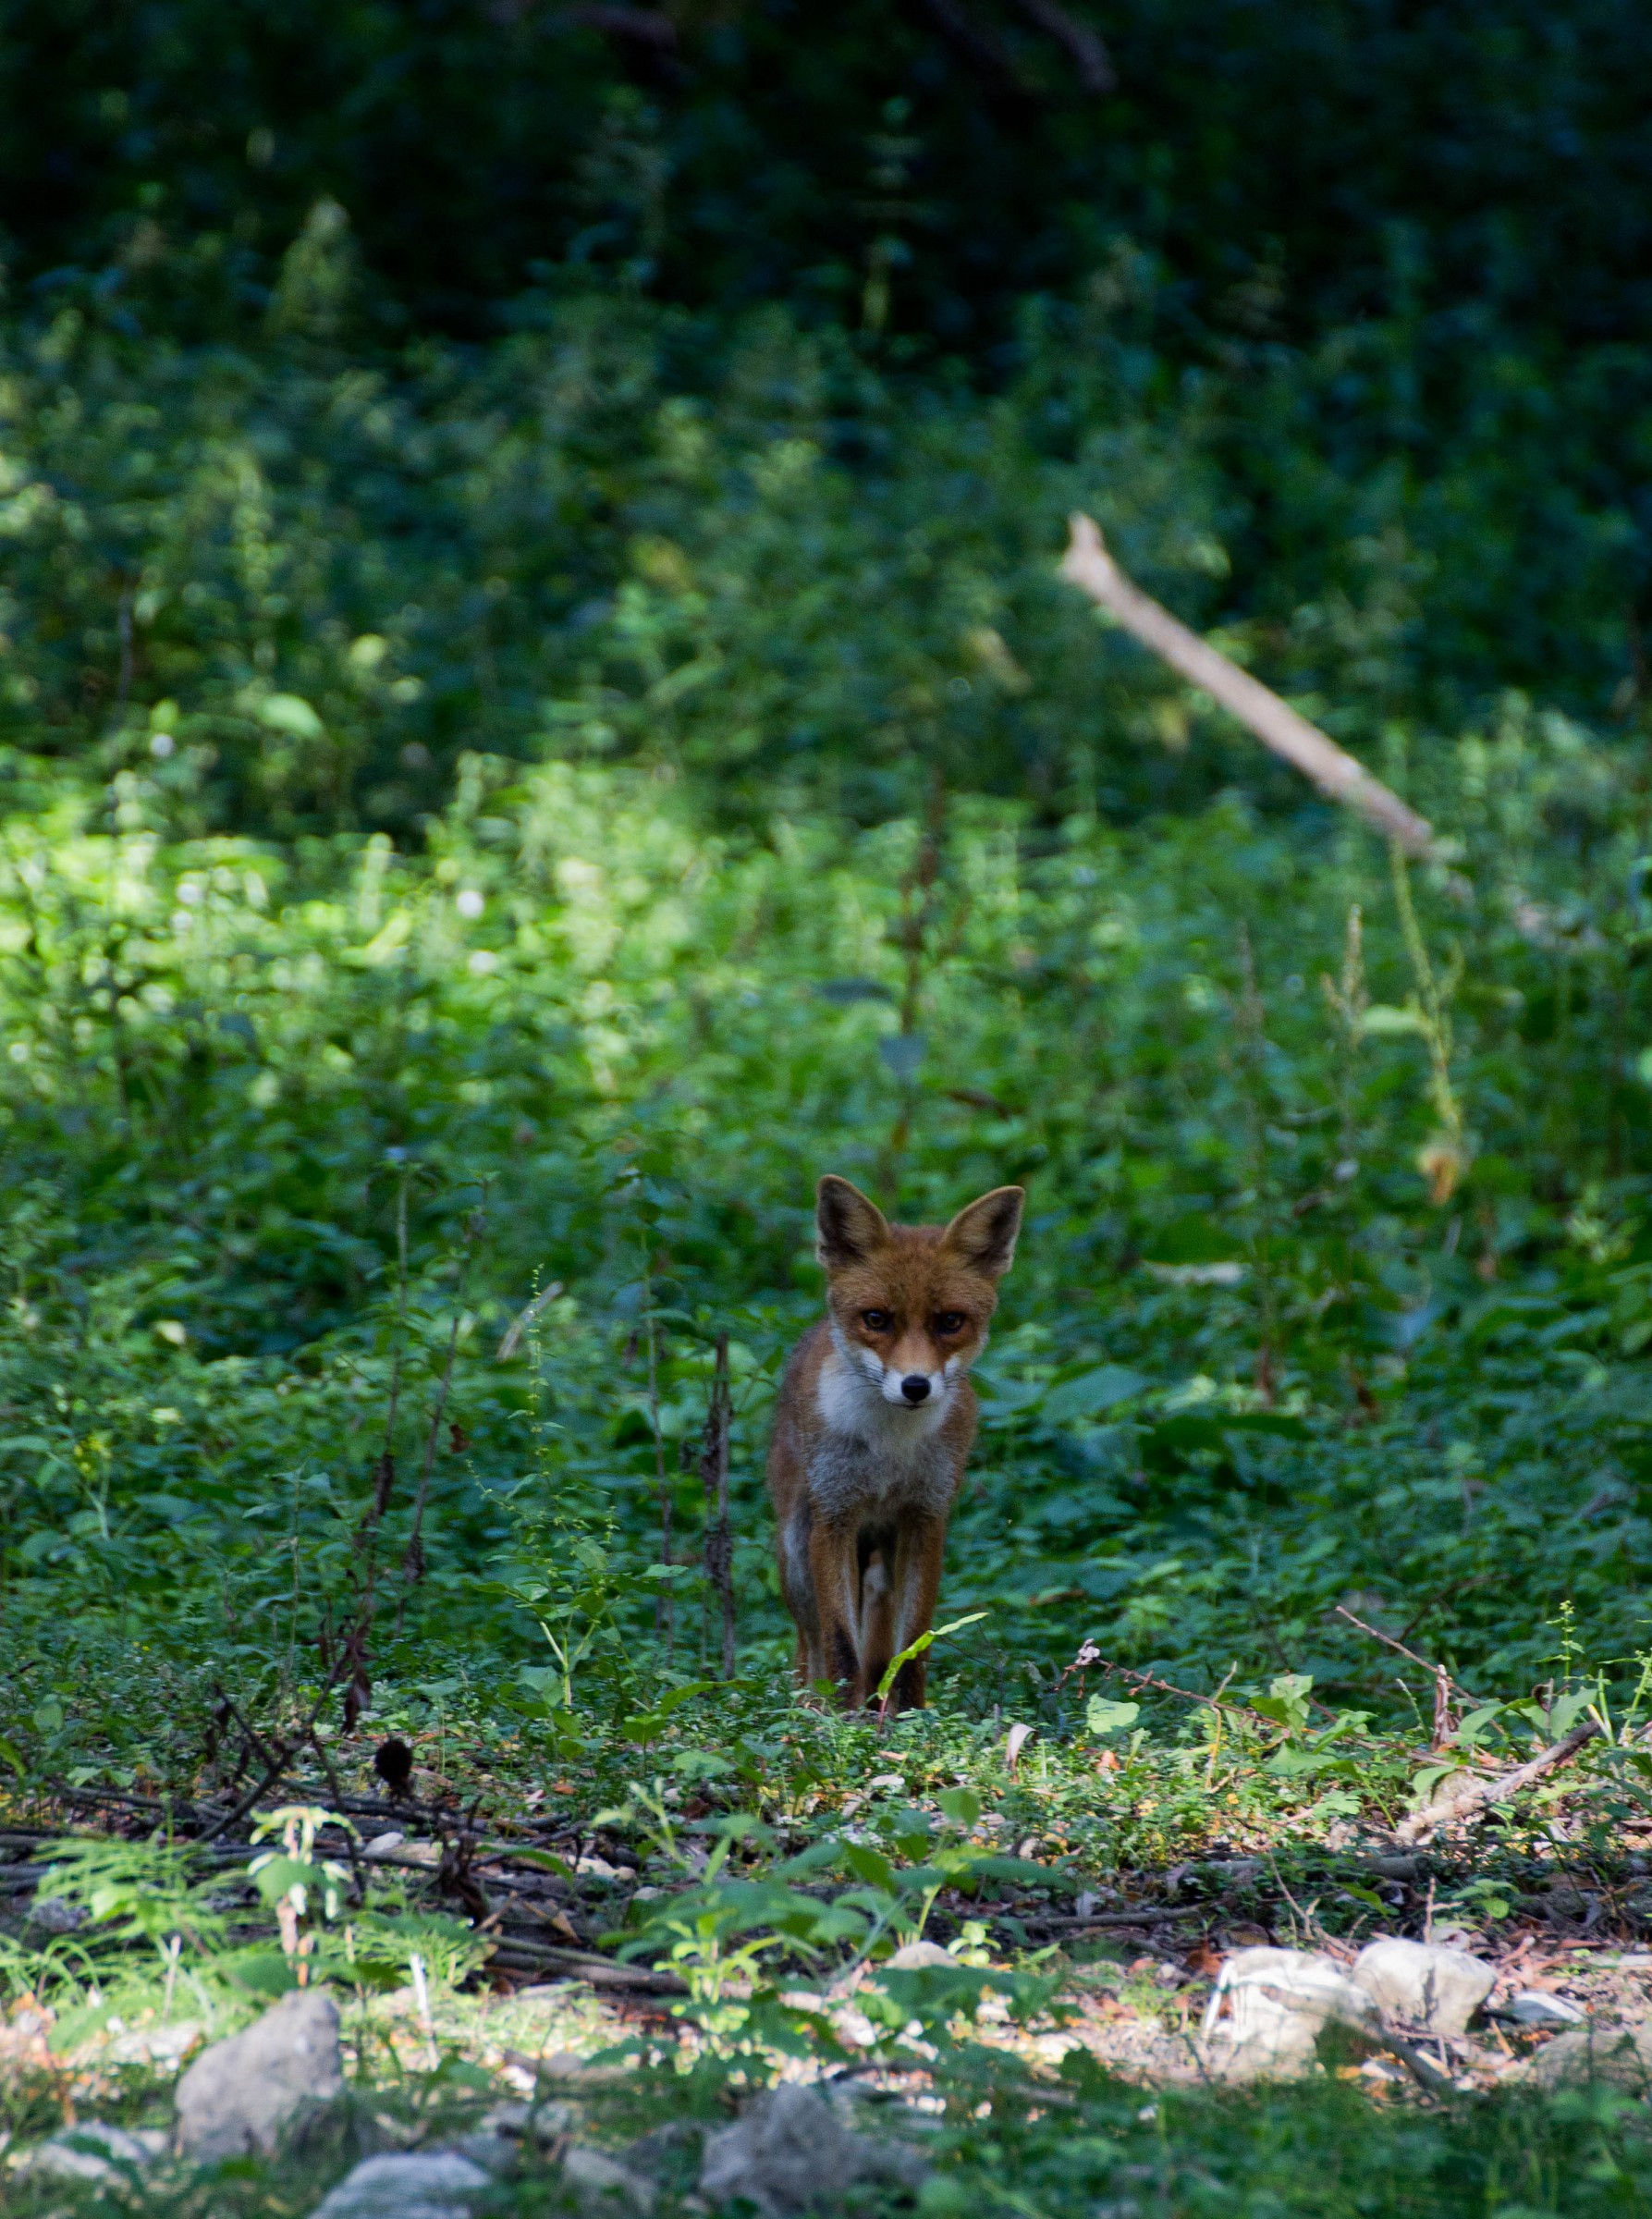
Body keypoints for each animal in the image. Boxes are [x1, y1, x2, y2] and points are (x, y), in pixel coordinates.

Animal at [766, 1174, 1024, 1712]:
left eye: (950, 1321)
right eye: (876, 1319)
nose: (915, 1386)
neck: (890, 1447)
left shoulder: (925, 1518)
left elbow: (912, 1649)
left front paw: (908, 1717)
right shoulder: (834, 1518)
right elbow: (840, 1646)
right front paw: (841, 1722)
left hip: (881, 1565)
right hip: (797, 1550)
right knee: (809, 1647)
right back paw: (808, 1709)